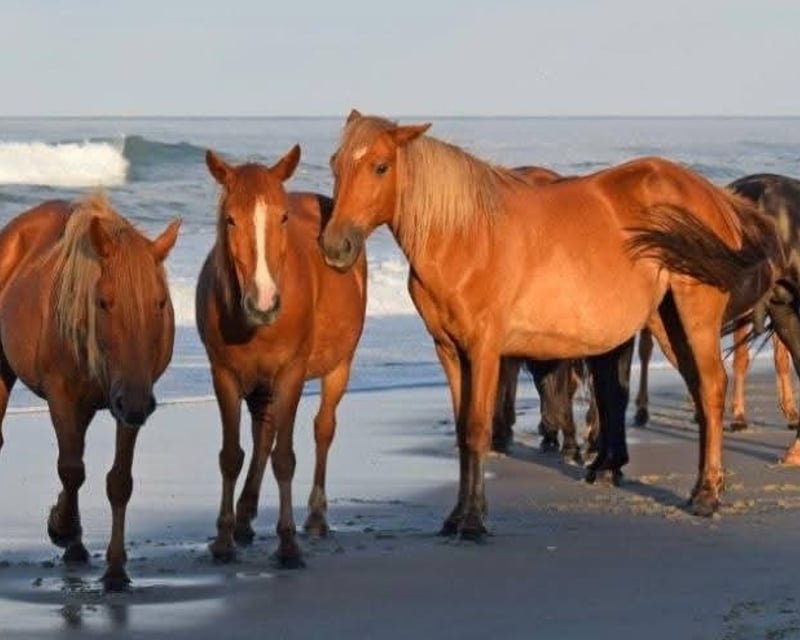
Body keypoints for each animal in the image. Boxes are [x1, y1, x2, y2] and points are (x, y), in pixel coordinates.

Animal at [0, 195, 180, 590]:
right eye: (103, 302)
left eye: (160, 303)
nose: (136, 403)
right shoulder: (63, 396)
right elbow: (70, 470)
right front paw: (61, 528)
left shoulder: (129, 401)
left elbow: (119, 481)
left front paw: (115, 570)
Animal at [197, 146, 367, 567]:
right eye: (230, 219)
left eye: (283, 217)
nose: (263, 302)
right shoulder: (224, 374)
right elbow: (232, 455)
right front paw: (223, 539)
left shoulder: (291, 374)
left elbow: (285, 457)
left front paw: (288, 544)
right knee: (263, 434)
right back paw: (245, 518)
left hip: (339, 367)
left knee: (322, 428)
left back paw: (317, 517)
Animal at [320, 110, 783, 539]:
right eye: (335, 163)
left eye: (381, 166)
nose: (335, 246)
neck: (464, 236)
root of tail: (714, 195)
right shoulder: (449, 351)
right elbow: (462, 430)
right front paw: (456, 517)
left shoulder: (485, 349)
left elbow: (477, 428)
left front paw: (472, 521)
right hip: (668, 322)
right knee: (701, 394)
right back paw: (699, 488)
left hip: (695, 318)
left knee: (712, 389)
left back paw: (707, 496)